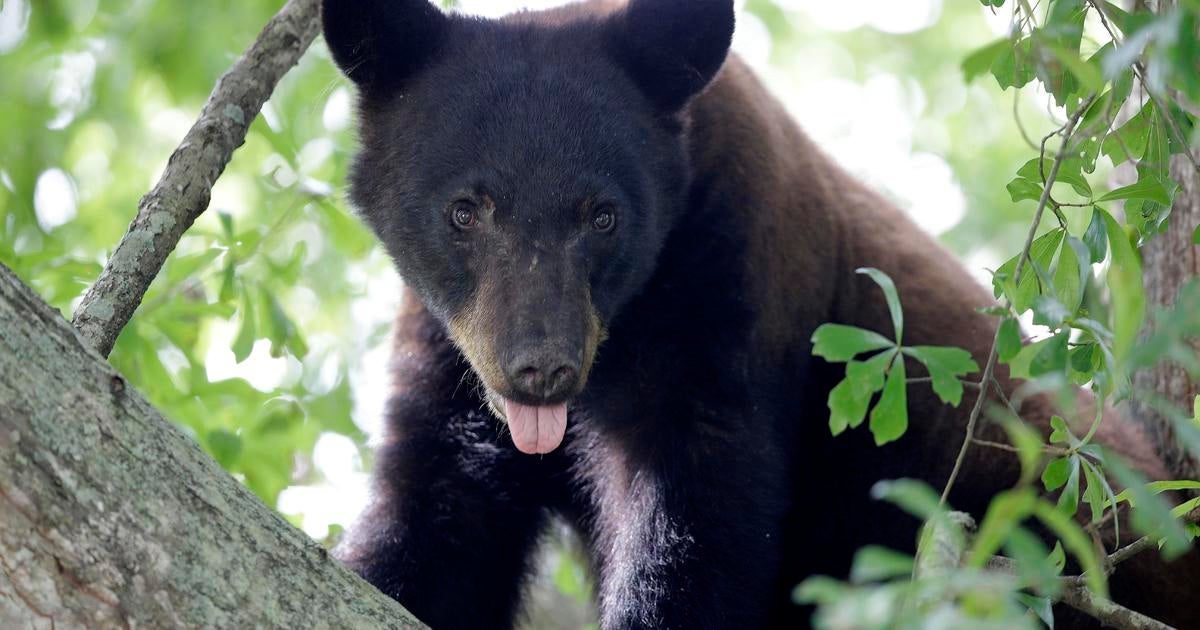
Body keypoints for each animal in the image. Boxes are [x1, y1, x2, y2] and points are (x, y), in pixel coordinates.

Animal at [319, 0, 1200, 624]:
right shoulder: (449, 355)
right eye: (465, 209)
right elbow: (435, 517)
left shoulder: (731, 287)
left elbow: (697, 517)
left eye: (603, 215)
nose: (541, 368)